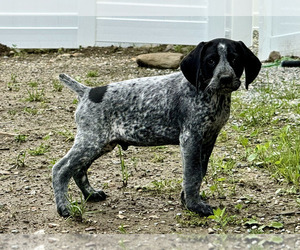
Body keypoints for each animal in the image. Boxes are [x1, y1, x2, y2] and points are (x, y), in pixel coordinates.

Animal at [52, 38, 262, 217]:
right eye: (211, 61)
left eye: (234, 59)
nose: (225, 78)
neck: (212, 96)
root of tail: (87, 91)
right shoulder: (191, 139)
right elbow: (192, 175)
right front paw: (195, 206)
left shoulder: (208, 140)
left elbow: (199, 174)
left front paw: (186, 200)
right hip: (91, 141)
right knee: (60, 169)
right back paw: (64, 208)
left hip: (101, 144)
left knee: (78, 170)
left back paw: (90, 194)